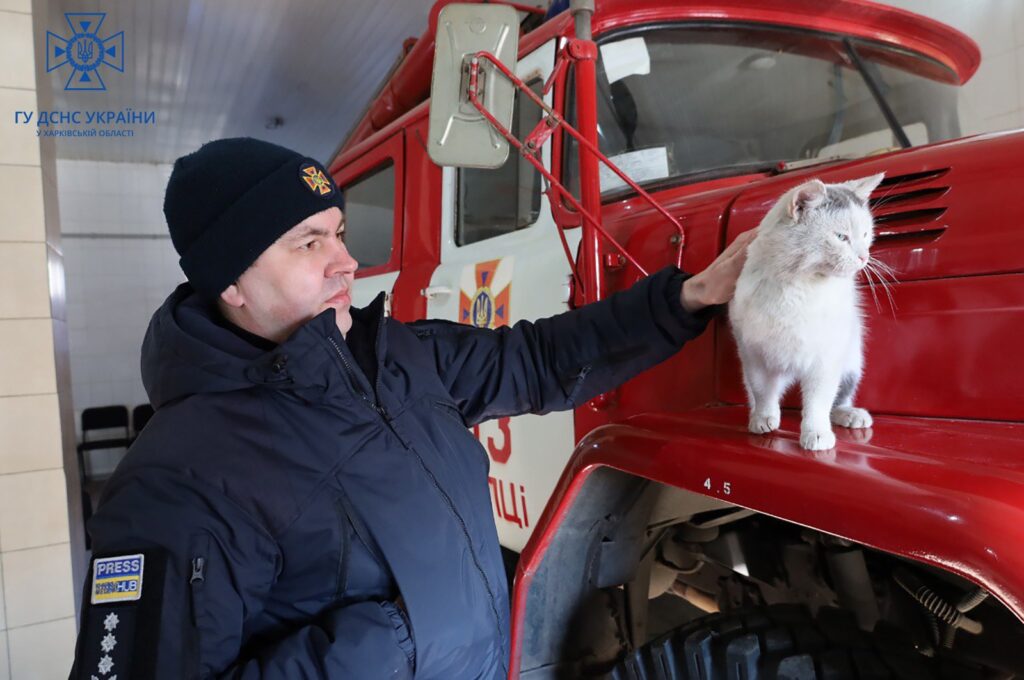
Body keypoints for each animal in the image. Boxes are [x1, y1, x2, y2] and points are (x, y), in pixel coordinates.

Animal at [733, 174, 884, 450]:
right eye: (841, 237)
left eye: (866, 233)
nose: (864, 257)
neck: (799, 287)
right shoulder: (752, 351)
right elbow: (762, 389)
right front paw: (763, 418)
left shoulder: (826, 357)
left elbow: (819, 400)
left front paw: (816, 432)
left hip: (851, 360)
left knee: (839, 396)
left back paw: (849, 414)